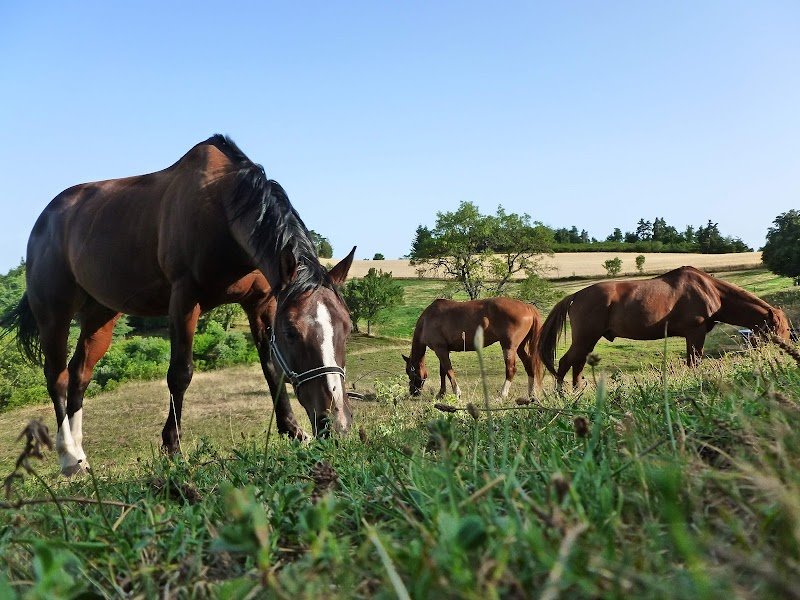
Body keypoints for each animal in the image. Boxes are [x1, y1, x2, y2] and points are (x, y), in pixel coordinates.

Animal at [0, 135, 355, 476]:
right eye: (292, 332)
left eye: (347, 327)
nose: (336, 424)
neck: (222, 210)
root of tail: (44, 219)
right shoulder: (185, 300)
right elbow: (180, 374)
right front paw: (172, 448)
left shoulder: (261, 303)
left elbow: (271, 368)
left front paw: (292, 430)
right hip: (54, 315)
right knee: (57, 378)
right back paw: (68, 458)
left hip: (100, 315)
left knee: (79, 375)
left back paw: (81, 455)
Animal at [402, 297, 543, 399]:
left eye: (409, 372)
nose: (413, 392)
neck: (428, 319)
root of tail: (528, 307)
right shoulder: (444, 350)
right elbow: (443, 372)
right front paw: (441, 394)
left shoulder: (440, 350)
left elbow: (449, 371)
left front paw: (456, 392)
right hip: (519, 348)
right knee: (529, 366)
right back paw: (531, 395)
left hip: (509, 347)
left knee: (511, 369)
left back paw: (502, 394)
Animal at [538, 266, 791, 389]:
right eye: (786, 330)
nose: (789, 352)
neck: (712, 290)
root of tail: (576, 295)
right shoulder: (695, 333)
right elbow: (694, 362)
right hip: (585, 337)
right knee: (565, 363)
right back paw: (561, 395)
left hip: (588, 340)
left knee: (577, 364)